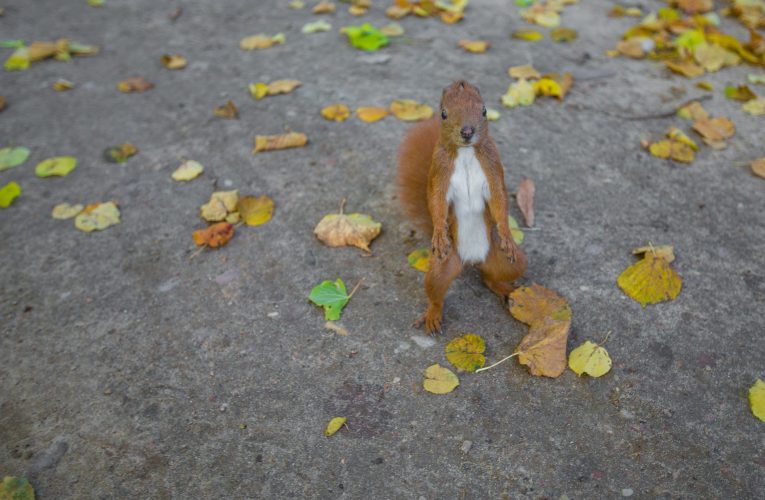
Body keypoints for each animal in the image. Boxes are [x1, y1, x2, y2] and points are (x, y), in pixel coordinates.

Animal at [394, 80, 524, 334]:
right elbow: (436, 201)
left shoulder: (493, 166)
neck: (465, 153)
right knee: (436, 291)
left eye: (484, 110)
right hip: (443, 266)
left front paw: (506, 233)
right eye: (443, 113)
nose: (467, 131)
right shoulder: (439, 171)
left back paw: (504, 288)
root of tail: (473, 259)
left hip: (508, 262)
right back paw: (432, 314)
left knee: (490, 277)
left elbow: (499, 200)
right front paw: (438, 233)